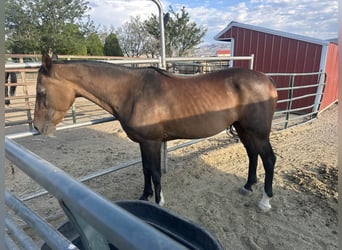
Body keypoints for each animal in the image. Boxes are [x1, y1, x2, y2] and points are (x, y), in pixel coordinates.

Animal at [32, 53, 278, 212]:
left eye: (41, 91)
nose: (37, 127)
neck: (133, 92)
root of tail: (268, 80)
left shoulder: (152, 141)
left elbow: (156, 172)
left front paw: (159, 202)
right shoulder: (143, 142)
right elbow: (146, 170)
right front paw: (144, 196)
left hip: (258, 133)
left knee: (268, 159)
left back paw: (265, 201)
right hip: (243, 128)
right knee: (252, 155)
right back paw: (247, 186)